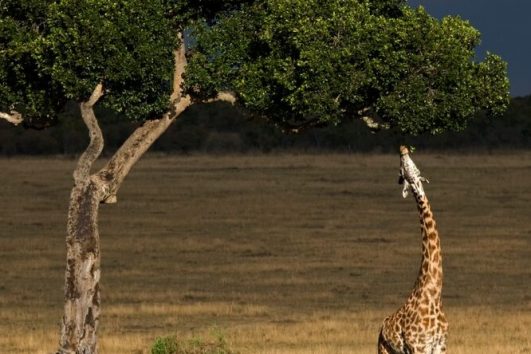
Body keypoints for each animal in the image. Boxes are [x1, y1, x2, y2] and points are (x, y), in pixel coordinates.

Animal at [378, 145, 448, 352]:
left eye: (412, 167)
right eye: (402, 171)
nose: (402, 149)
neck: (433, 294)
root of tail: (382, 327)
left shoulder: (441, 345)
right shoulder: (418, 346)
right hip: (383, 349)